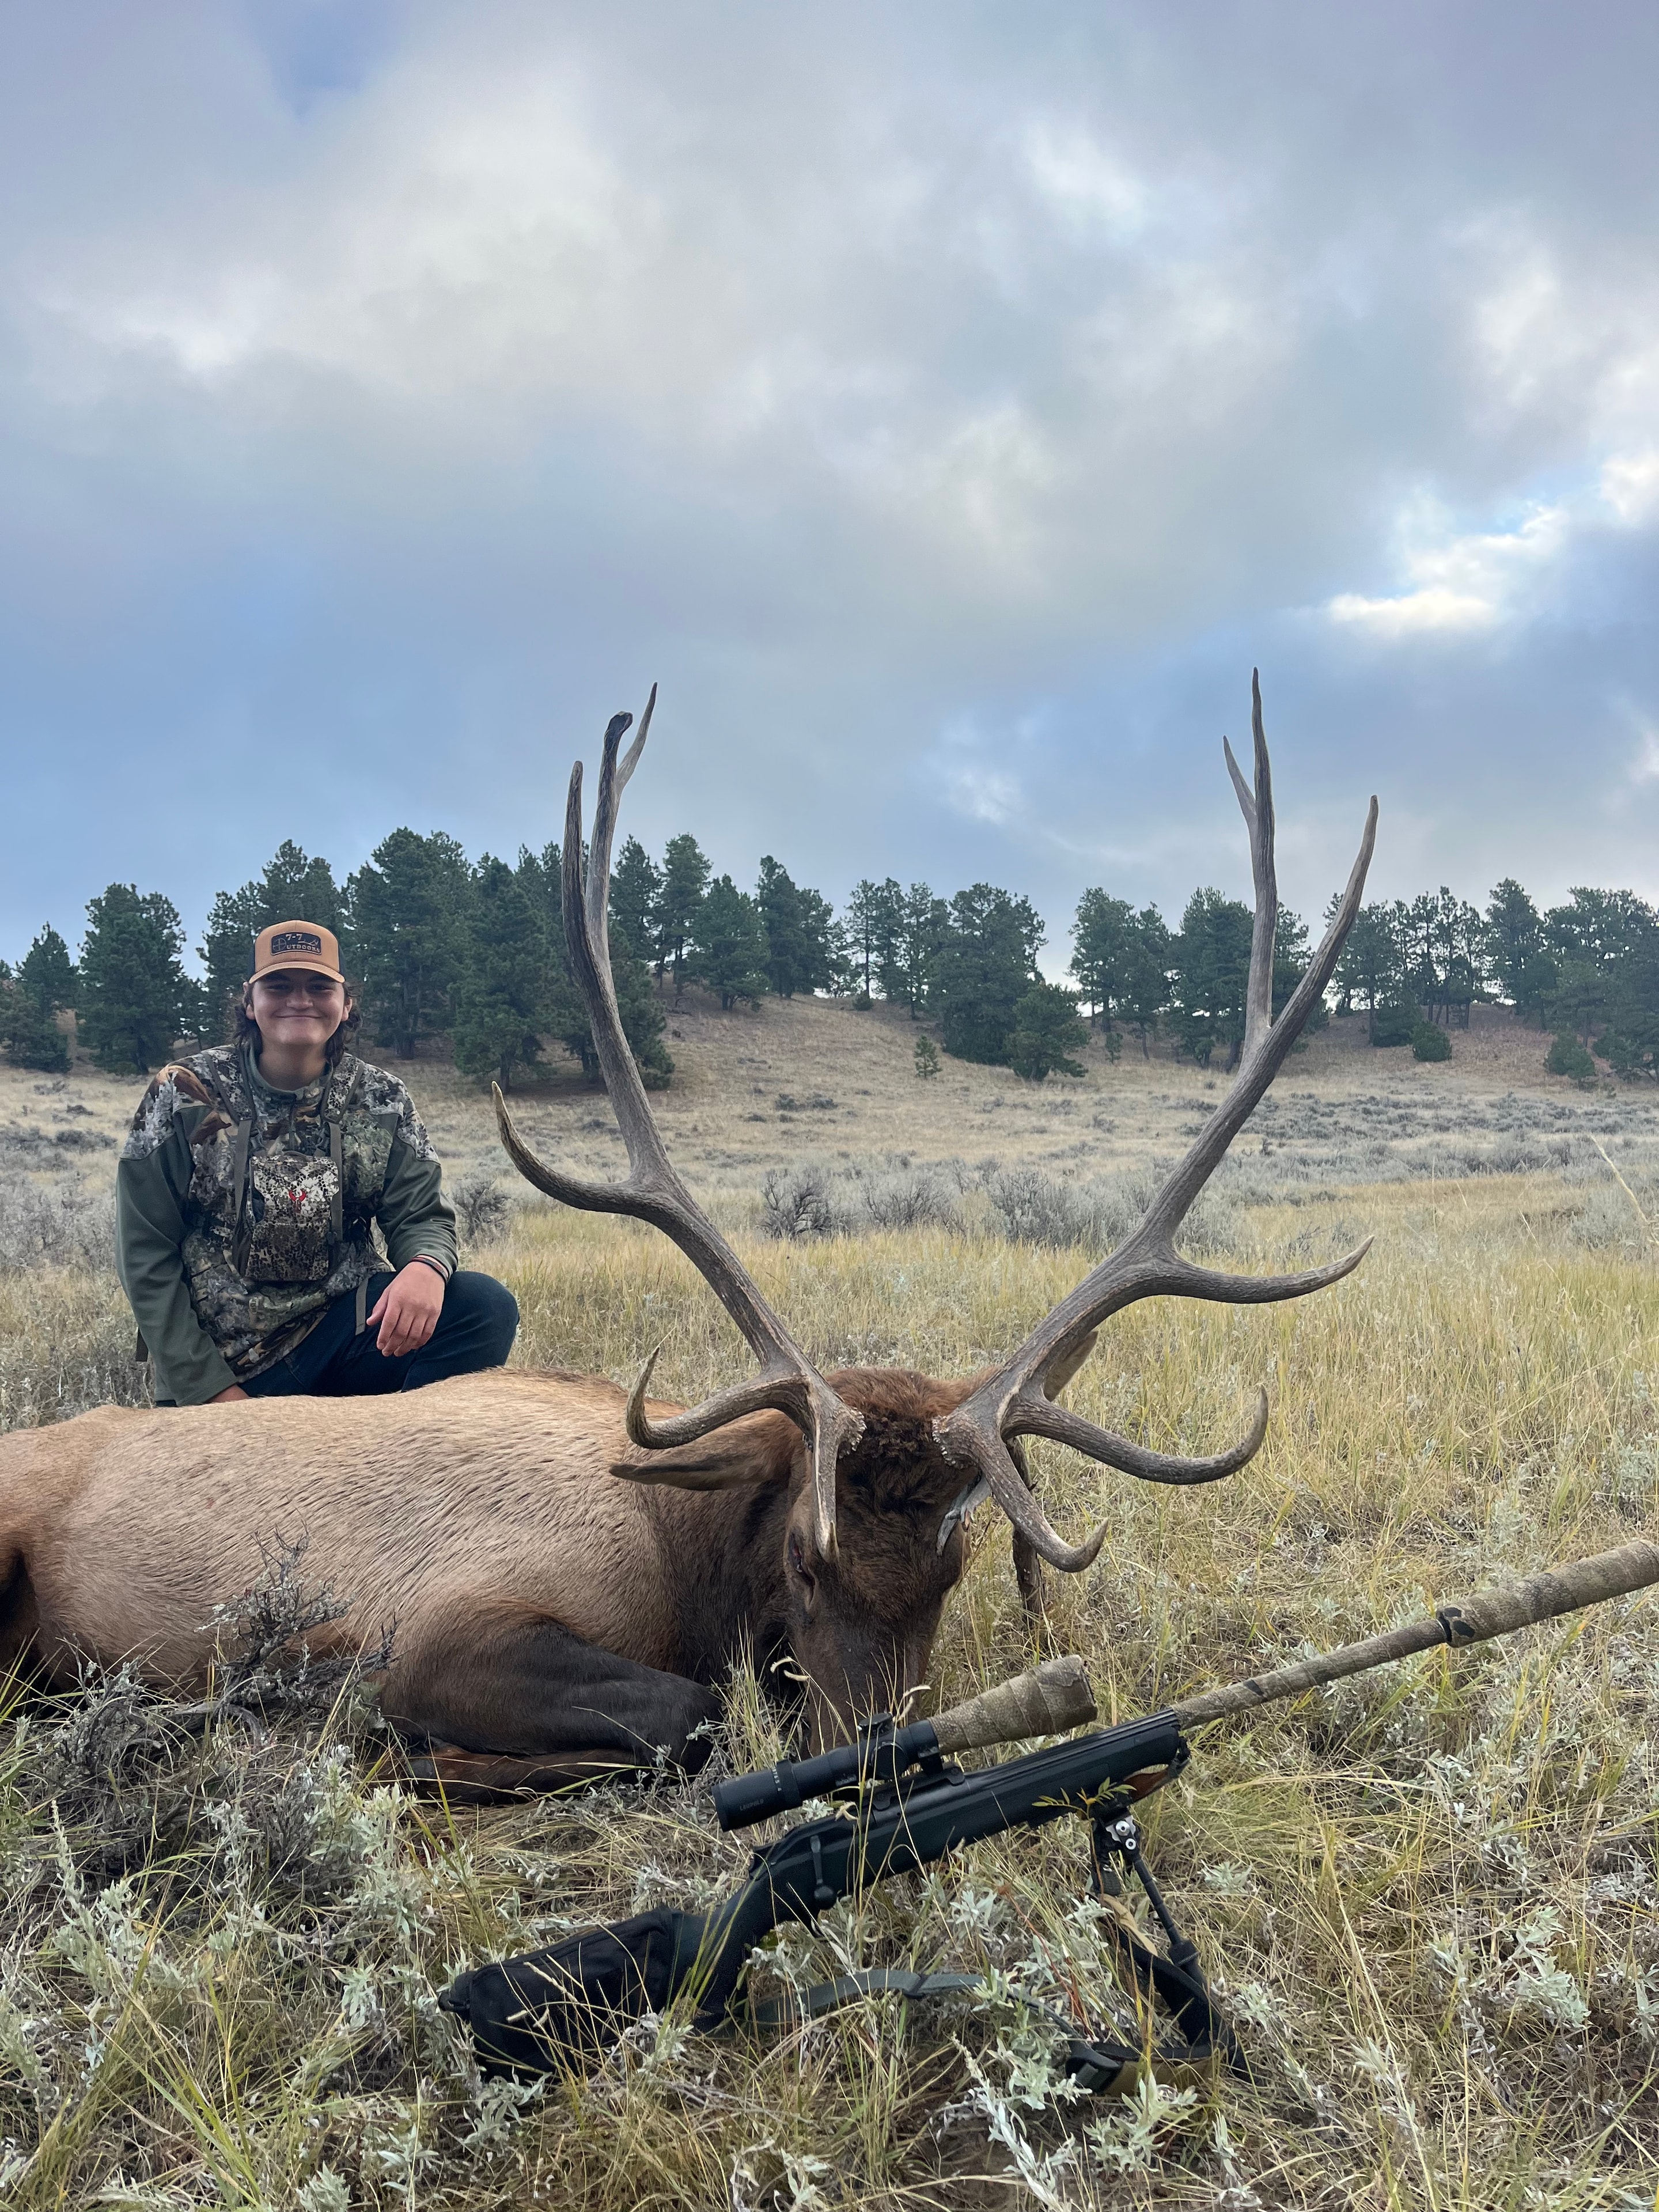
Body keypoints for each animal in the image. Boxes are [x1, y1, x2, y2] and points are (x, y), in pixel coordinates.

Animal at [0, 679, 1376, 1796]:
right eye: (808, 1569)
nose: (880, 1765)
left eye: (949, 1577)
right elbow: (692, 1708)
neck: (681, 1550)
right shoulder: (437, 1629)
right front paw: (433, 1759)